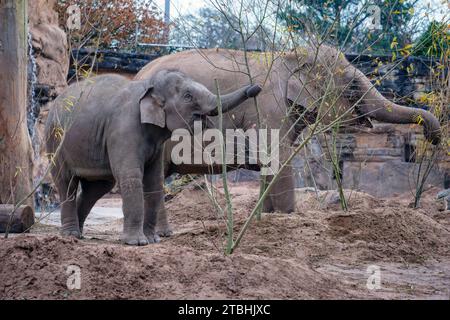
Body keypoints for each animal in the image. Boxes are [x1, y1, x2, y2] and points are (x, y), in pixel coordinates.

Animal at [44, 70, 262, 245]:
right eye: (188, 96)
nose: (256, 87)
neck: (148, 86)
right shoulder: (123, 128)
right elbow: (131, 177)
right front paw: (137, 243)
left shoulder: (157, 145)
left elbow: (154, 180)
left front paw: (153, 240)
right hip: (55, 142)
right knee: (67, 183)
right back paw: (70, 235)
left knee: (97, 187)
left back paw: (80, 233)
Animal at [134, 43, 442, 236]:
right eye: (352, 86)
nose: (433, 138)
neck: (290, 56)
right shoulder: (270, 108)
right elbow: (278, 156)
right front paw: (288, 216)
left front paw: (268, 216)